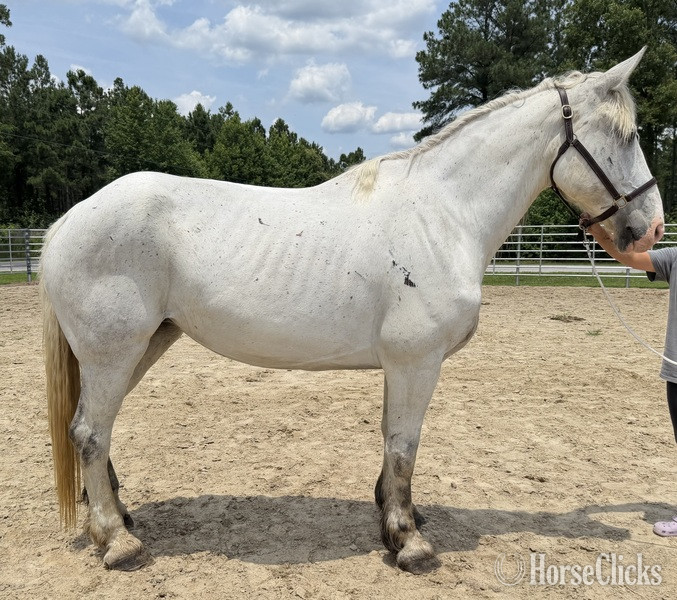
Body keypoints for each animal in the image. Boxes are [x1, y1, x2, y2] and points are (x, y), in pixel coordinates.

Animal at [41, 48, 664, 573]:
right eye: (626, 135)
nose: (652, 230)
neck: (442, 215)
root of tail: (68, 220)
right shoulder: (416, 361)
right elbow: (404, 446)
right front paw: (410, 542)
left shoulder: (401, 364)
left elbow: (392, 443)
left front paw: (393, 518)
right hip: (113, 352)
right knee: (90, 433)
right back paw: (118, 542)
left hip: (143, 345)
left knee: (97, 432)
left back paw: (115, 519)